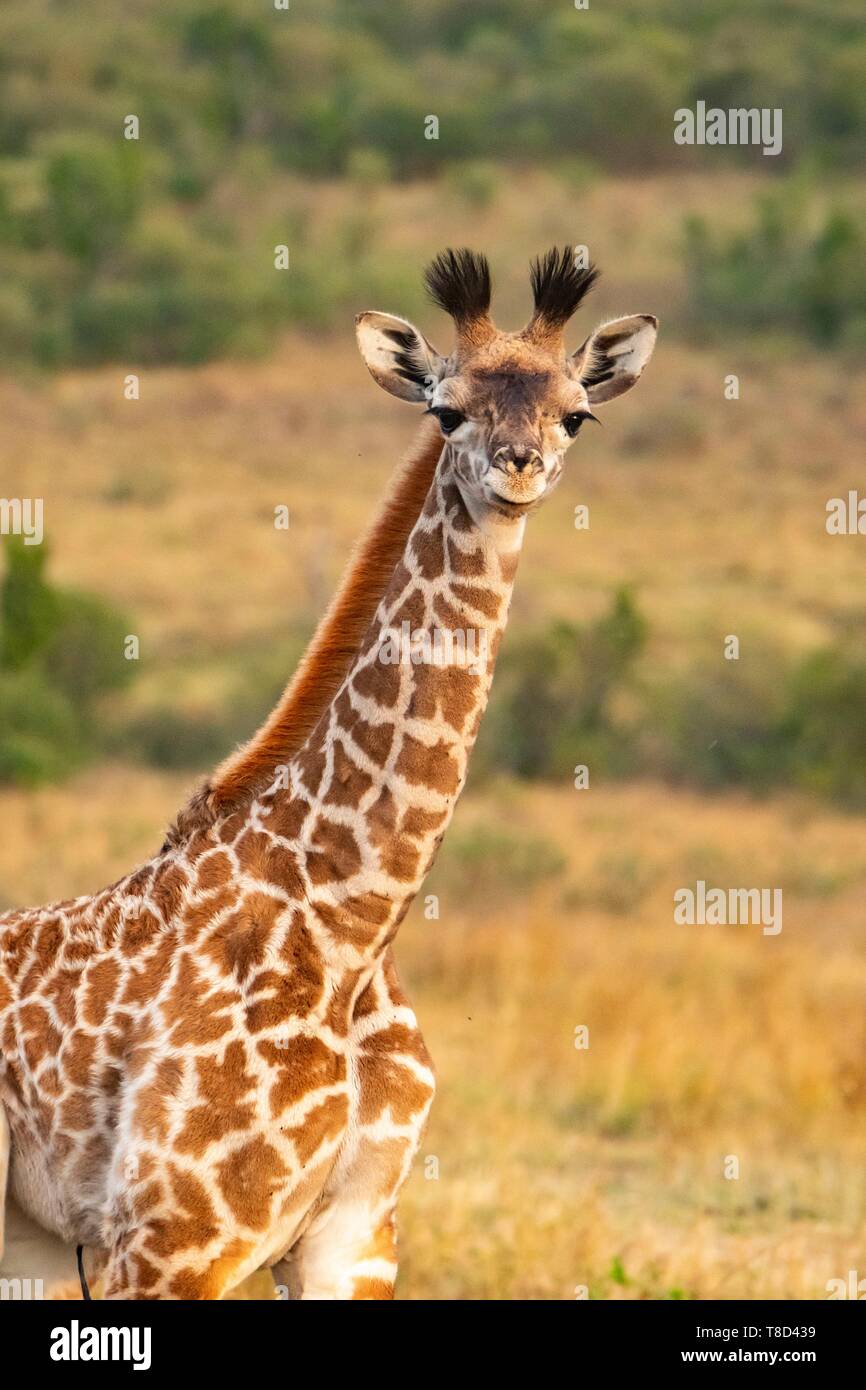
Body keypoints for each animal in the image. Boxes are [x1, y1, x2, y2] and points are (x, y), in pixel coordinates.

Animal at [0, 247, 656, 1300]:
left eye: (574, 415)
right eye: (447, 412)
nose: (518, 468)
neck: (352, 923)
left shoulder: (357, 1234)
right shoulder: (172, 1236)